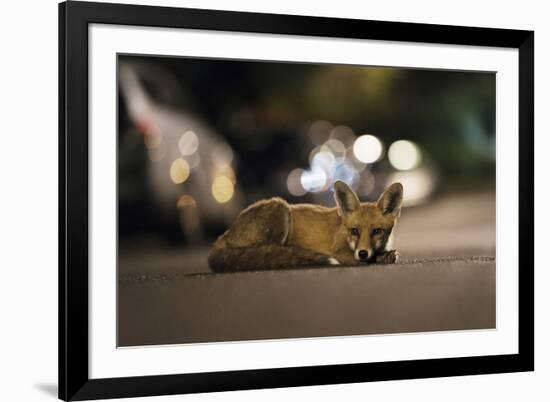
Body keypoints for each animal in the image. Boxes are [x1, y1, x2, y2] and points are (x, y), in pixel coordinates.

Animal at [209, 182, 404, 274]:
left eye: (377, 231)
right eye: (354, 231)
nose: (362, 253)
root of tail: (222, 237)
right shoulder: (339, 251)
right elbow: (367, 259)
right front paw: (381, 258)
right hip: (280, 209)